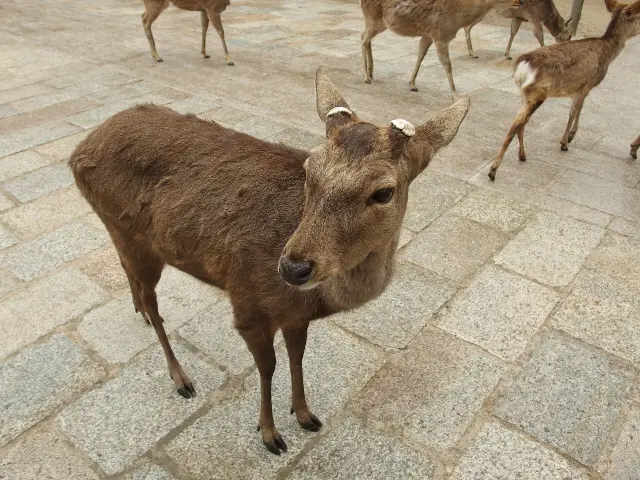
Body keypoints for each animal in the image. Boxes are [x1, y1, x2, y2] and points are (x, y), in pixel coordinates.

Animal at [68, 69, 470, 455]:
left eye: (384, 192)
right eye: (309, 170)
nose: (292, 267)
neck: (317, 300)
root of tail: (78, 151)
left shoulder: (296, 316)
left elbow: (297, 356)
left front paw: (305, 414)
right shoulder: (248, 304)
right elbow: (268, 367)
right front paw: (269, 434)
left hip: (120, 232)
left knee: (128, 273)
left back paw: (139, 312)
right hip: (131, 234)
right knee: (152, 298)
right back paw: (181, 377)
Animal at [360, 0, 504, 100]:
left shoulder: (428, 35)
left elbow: (420, 55)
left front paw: (412, 84)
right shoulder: (439, 34)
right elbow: (447, 65)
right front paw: (455, 96)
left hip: (375, 22)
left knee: (366, 38)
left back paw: (371, 72)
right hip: (374, 19)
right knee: (363, 38)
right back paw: (366, 76)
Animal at [488, 0, 640, 181]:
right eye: (639, 17)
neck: (608, 54)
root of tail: (522, 65)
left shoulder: (580, 87)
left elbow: (579, 108)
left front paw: (570, 137)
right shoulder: (588, 83)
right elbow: (574, 111)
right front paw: (565, 142)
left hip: (523, 93)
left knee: (522, 123)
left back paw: (522, 155)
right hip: (537, 92)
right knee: (515, 125)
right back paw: (493, 170)